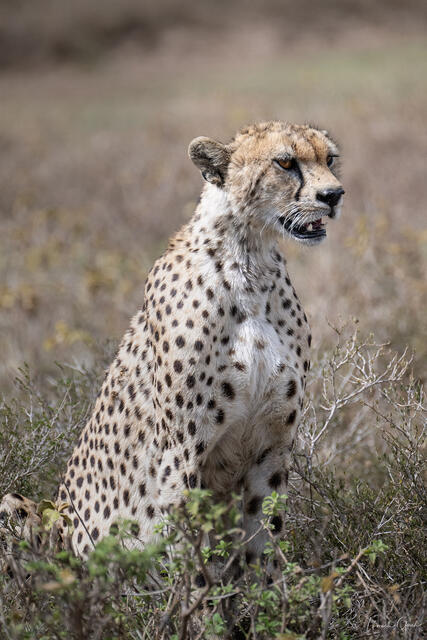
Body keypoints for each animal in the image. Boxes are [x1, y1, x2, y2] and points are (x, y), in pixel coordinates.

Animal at [1, 121, 344, 566]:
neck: (250, 262)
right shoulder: (181, 452)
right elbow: (187, 556)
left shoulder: (271, 448)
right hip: (24, 511)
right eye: (285, 163)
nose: (334, 195)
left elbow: (264, 547)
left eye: (329, 159)